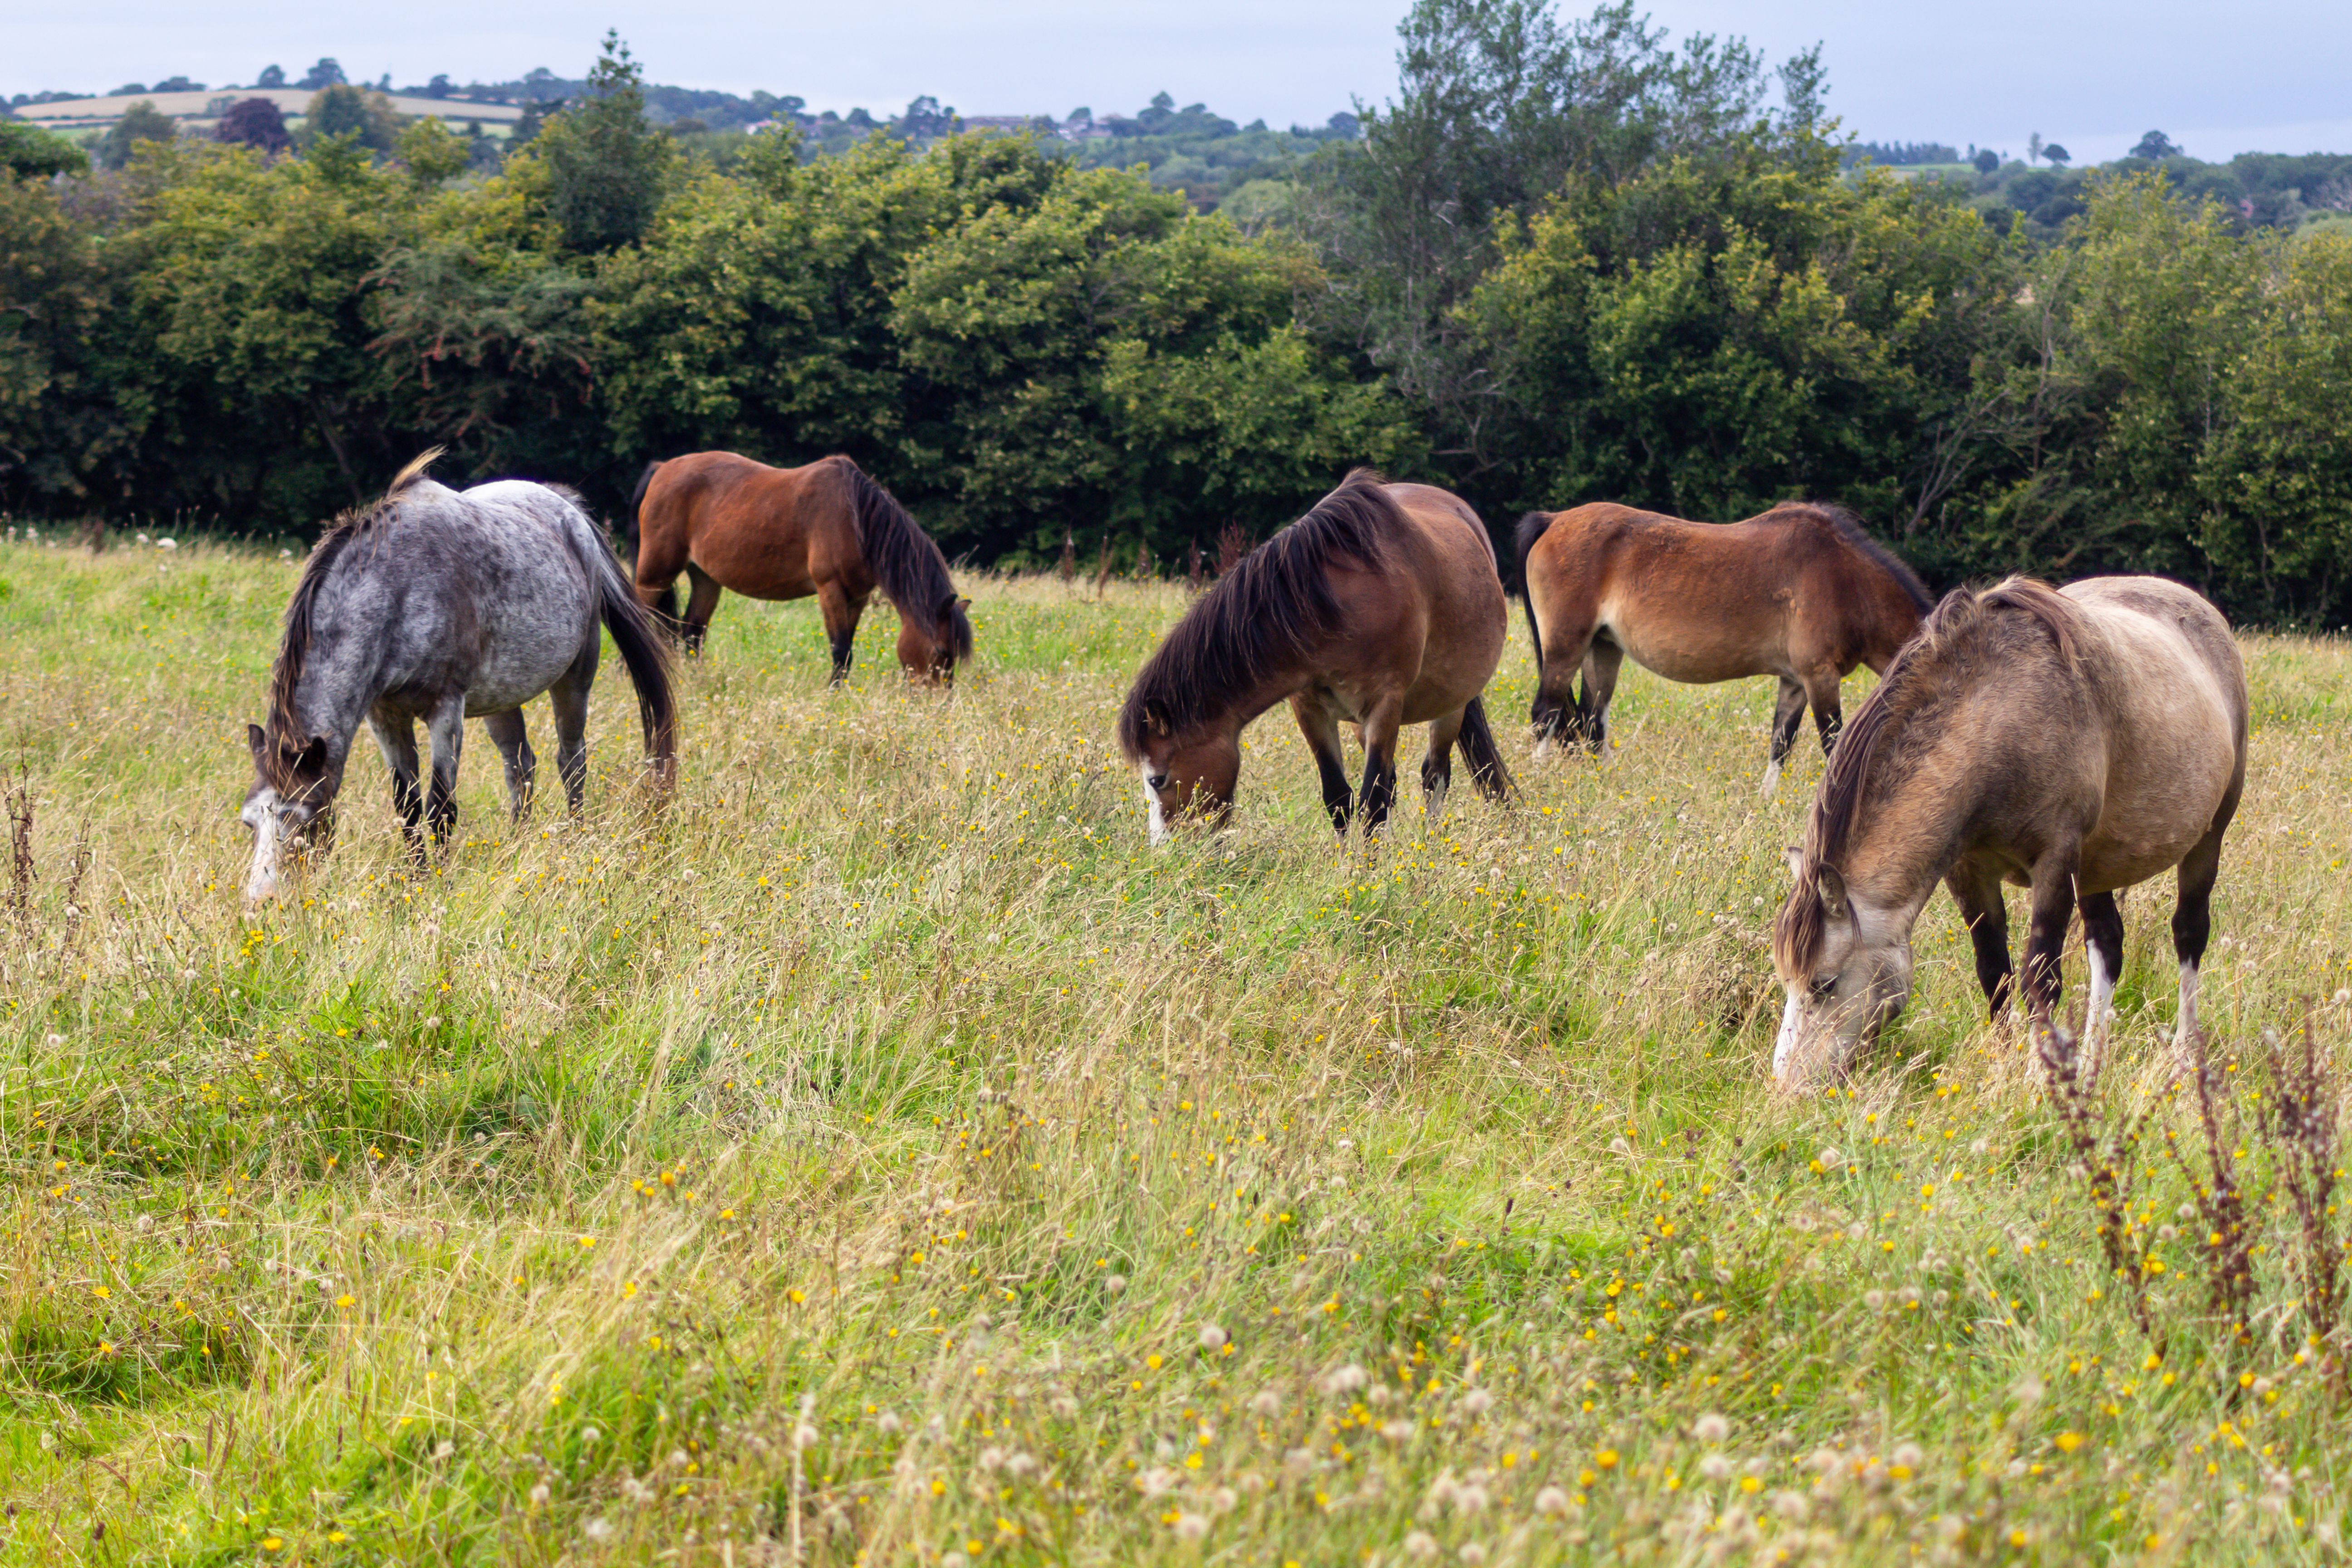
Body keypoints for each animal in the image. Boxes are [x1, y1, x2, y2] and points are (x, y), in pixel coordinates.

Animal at [240, 452, 678, 904]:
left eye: (303, 819)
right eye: (250, 823)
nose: (261, 900)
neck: (399, 589)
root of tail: (569, 511)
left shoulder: (445, 710)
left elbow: (441, 807)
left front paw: (440, 882)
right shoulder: (385, 717)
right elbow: (407, 807)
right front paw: (416, 879)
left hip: (575, 676)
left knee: (571, 761)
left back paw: (575, 839)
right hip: (501, 697)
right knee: (520, 766)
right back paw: (516, 845)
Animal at [627, 452, 973, 684]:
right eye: (940, 650)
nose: (938, 704)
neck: (856, 519)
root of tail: (663, 469)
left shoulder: (857, 597)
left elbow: (848, 646)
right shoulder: (830, 588)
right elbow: (841, 649)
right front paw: (835, 693)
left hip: (706, 579)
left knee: (693, 634)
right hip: (655, 574)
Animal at [1117, 470, 1511, 842]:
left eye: (1157, 779)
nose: (1168, 853)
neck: (1335, 607)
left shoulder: (1385, 705)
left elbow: (1373, 803)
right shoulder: (1310, 709)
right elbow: (1339, 797)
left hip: (1451, 706)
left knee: (1435, 775)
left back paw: (1427, 846)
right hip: (1360, 724)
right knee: (1395, 781)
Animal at [1513, 502, 1933, 791]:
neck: (1847, 581)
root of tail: (1555, 520)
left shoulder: (1795, 682)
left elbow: (1780, 745)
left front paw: (1767, 803)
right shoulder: (1820, 678)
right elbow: (1833, 746)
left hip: (1602, 650)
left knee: (1591, 722)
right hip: (1566, 647)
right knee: (1547, 713)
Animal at [1769, 576, 2246, 1090]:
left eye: (1823, 984)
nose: (1787, 1086)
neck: (2001, 717)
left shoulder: (2056, 862)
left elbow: (2041, 976)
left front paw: (2039, 1079)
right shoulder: (1969, 872)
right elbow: (1994, 971)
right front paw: (2005, 1065)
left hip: (2207, 838)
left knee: (2189, 934)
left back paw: (2183, 1058)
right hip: (2096, 866)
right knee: (2107, 945)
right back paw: (2092, 1065)